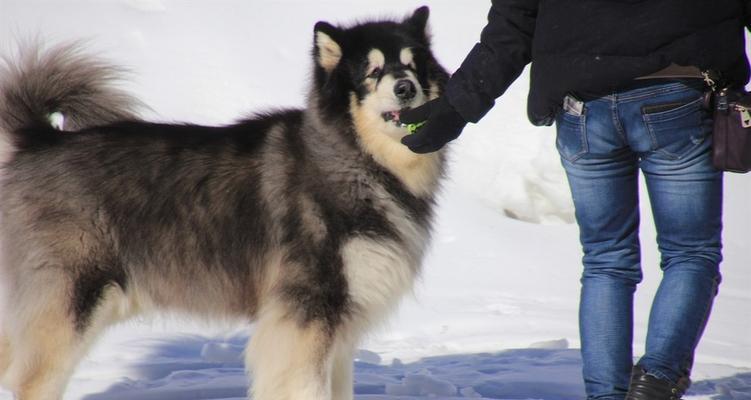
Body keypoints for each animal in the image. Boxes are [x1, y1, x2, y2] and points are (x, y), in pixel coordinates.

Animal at [0, 6, 446, 400]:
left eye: (414, 66)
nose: (406, 88)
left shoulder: (340, 323)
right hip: (72, 300)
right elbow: (305, 386)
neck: (359, 162)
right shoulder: (305, 316)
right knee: (33, 382)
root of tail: (40, 140)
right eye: (373, 72)